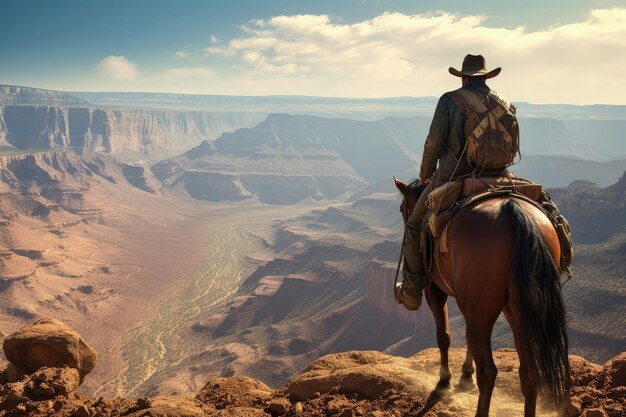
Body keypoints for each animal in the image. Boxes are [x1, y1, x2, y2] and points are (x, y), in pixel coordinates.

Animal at [392, 178, 568, 416]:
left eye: (403, 209)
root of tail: (512, 210)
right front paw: (466, 376)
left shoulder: (434, 290)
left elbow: (443, 336)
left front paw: (444, 384)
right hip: (520, 312)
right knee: (530, 374)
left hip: (482, 312)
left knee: (489, 372)